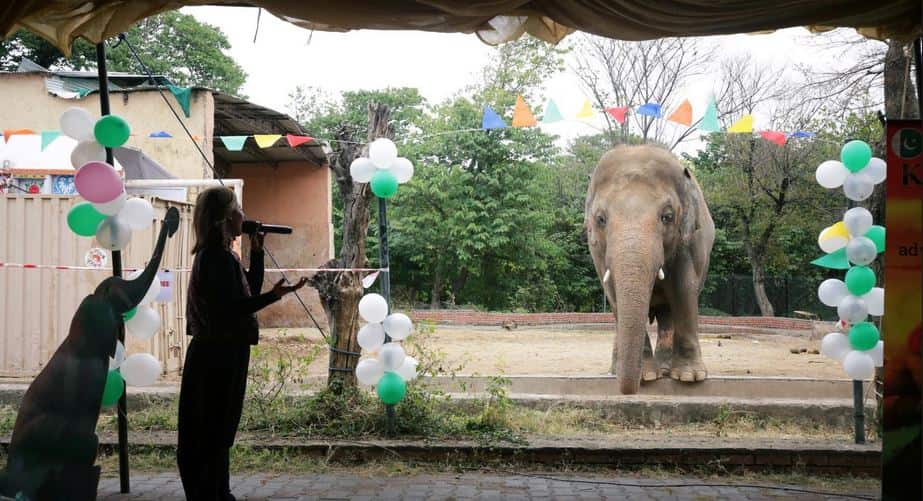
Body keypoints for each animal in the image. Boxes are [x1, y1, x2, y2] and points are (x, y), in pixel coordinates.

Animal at [585, 145, 714, 395]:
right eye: (601, 219)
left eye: (667, 217)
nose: (629, 390)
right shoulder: (597, 251)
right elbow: (613, 295)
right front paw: (646, 376)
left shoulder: (688, 241)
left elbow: (684, 290)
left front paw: (690, 378)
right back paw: (616, 371)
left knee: (668, 314)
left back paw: (666, 369)